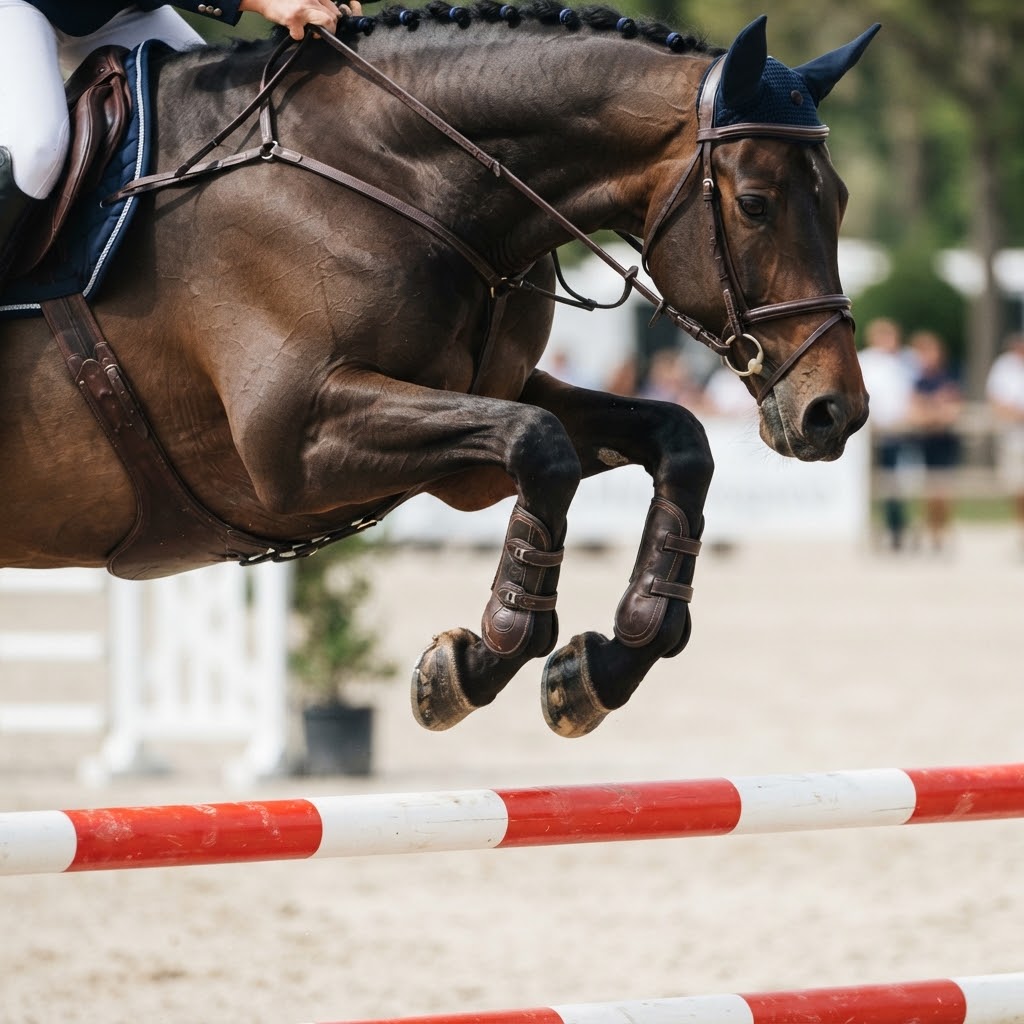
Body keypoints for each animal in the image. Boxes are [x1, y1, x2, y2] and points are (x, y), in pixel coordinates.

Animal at [0, 4, 878, 737]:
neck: (401, 176)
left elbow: (674, 437)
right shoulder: (292, 444)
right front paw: (475, 662)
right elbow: (541, 449)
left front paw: (606, 661)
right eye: (756, 203)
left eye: (838, 199)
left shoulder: (478, 432)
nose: (835, 412)